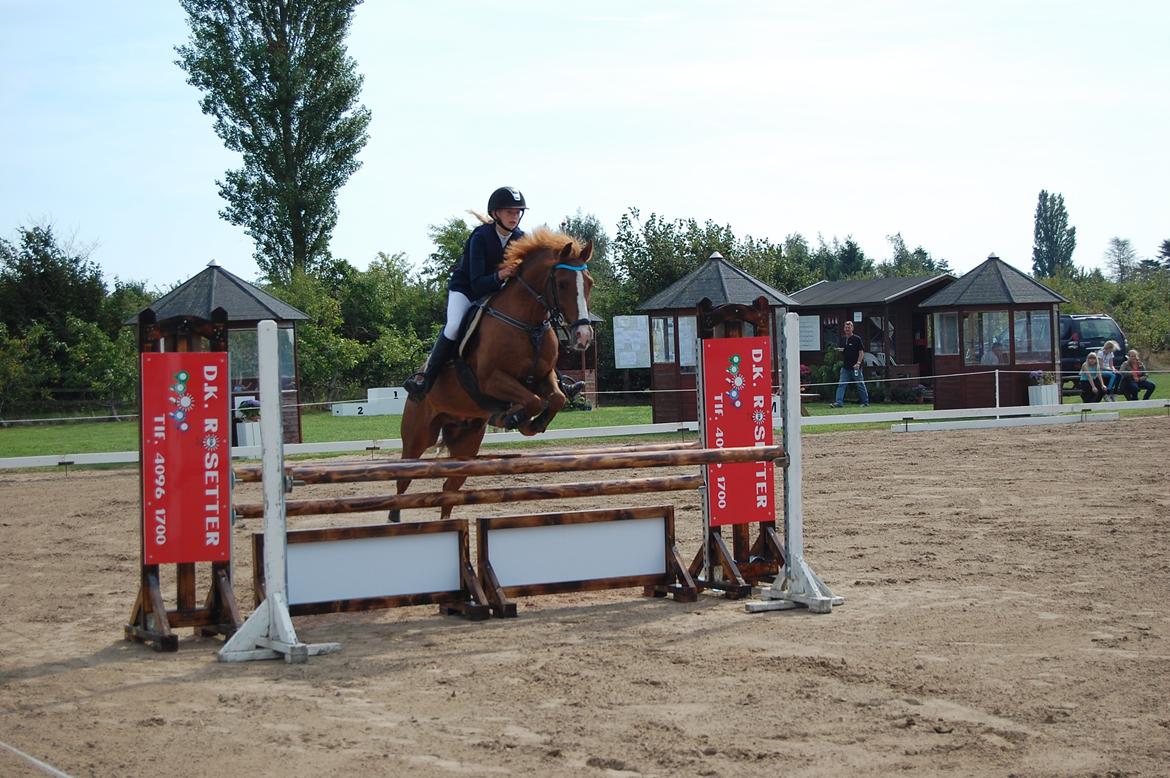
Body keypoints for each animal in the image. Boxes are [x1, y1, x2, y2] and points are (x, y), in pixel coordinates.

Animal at [390, 230, 594, 521]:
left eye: (589, 284)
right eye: (563, 284)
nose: (583, 337)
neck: (527, 324)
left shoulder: (543, 377)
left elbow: (554, 399)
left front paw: (529, 422)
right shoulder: (490, 380)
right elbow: (532, 400)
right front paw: (515, 417)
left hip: (467, 441)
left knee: (449, 489)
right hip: (418, 436)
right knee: (403, 479)